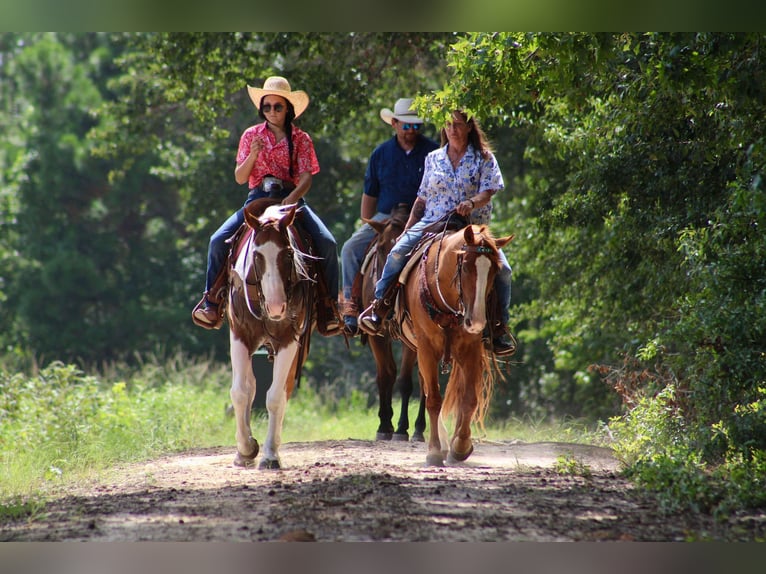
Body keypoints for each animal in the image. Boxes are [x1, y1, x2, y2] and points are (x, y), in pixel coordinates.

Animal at [226, 200, 316, 470]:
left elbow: (276, 396)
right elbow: (240, 393)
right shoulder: (239, 336)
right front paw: (246, 449)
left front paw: (269, 455)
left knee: (283, 390)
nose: (277, 307)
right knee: (249, 385)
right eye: (257, 255)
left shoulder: (289, 340)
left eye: (287, 254)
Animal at [358, 205, 426, 444]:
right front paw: (384, 424)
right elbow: (385, 375)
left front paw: (403, 428)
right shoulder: (376, 336)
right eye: (379, 247)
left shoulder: (412, 339)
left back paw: (418, 428)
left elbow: (406, 381)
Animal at [396, 225, 516, 468]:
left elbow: (469, 399)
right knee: (428, 390)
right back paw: (441, 444)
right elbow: (433, 399)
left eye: (494, 271)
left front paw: (461, 446)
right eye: (466, 266)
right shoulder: (426, 349)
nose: (477, 322)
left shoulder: (471, 349)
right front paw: (434, 451)